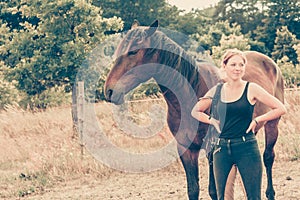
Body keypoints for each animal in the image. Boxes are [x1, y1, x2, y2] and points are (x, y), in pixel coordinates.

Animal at [103, 20, 284, 200]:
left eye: (133, 52)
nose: (109, 91)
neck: (192, 93)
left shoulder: (212, 148)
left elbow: (213, 190)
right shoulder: (186, 149)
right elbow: (193, 190)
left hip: (272, 125)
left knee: (268, 158)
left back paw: (270, 193)